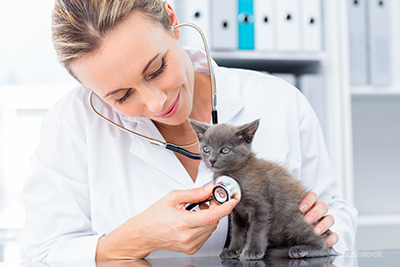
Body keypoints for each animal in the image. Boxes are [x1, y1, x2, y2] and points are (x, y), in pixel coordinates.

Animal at [190, 120, 338, 262]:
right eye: (206, 149)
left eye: (225, 150)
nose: (212, 160)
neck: (235, 174)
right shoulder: (237, 212)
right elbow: (237, 232)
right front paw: (233, 250)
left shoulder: (261, 206)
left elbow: (257, 230)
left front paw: (254, 251)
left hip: (295, 219)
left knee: (324, 245)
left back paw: (300, 249)